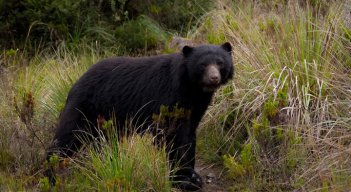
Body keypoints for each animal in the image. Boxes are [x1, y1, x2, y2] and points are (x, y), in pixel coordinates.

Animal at [46, 42, 234, 190]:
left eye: (220, 63)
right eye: (203, 64)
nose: (214, 78)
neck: (193, 89)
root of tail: (76, 83)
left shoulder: (195, 107)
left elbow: (187, 137)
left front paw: (192, 177)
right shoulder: (167, 99)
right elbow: (170, 137)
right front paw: (180, 180)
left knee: (104, 144)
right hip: (84, 108)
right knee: (66, 138)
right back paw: (50, 176)